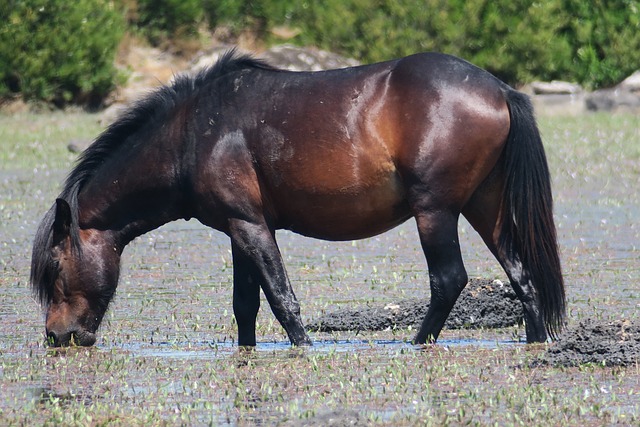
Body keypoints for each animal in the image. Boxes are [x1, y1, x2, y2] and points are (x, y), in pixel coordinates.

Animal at [30, 50, 564, 348]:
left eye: (55, 268)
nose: (56, 337)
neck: (192, 133)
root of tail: (499, 89)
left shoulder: (251, 226)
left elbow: (282, 298)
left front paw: (302, 347)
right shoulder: (238, 229)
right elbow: (245, 304)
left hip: (435, 211)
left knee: (449, 279)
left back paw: (416, 343)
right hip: (484, 207)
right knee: (522, 275)